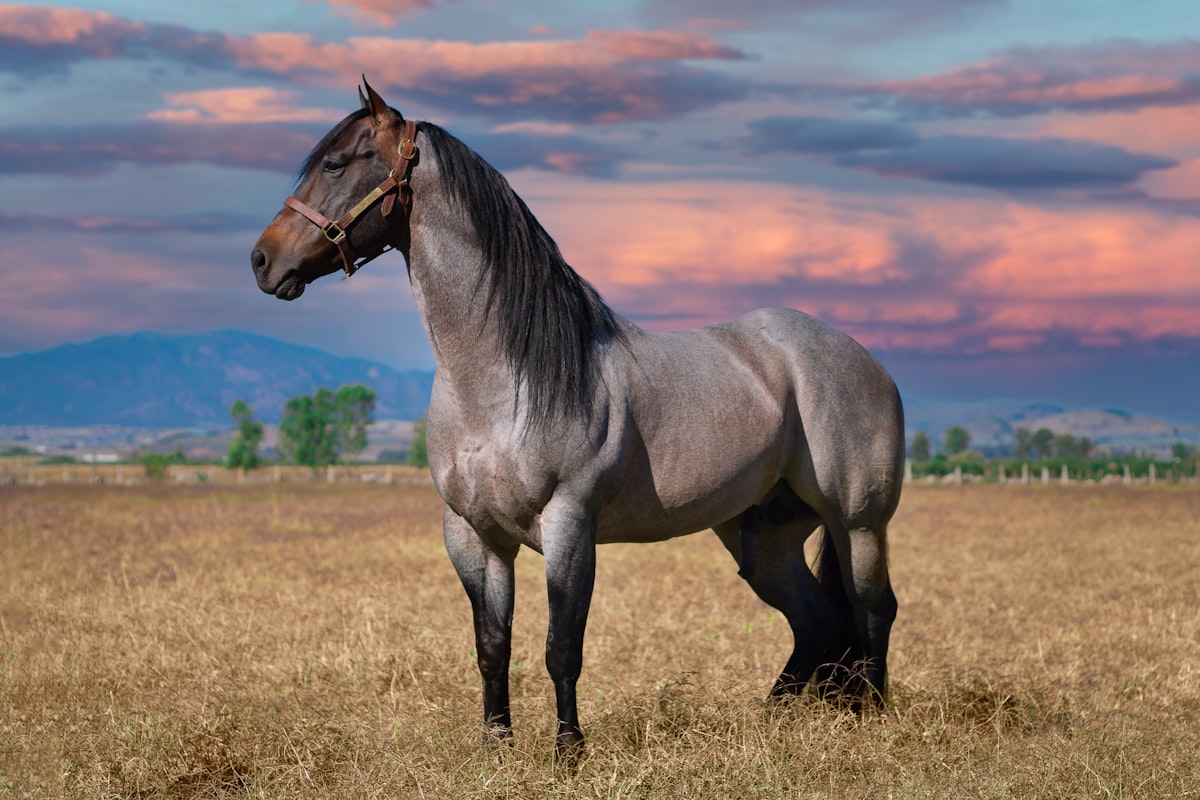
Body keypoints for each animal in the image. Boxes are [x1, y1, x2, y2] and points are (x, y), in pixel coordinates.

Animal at [251, 80, 904, 761]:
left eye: (335, 164)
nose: (263, 261)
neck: (500, 381)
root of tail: (864, 359)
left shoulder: (569, 525)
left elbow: (561, 648)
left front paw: (569, 750)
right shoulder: (473, 535)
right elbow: (492, 647)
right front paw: (496, 747)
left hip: (858, 523)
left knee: (872, 608)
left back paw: (871, 718)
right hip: (762, 536)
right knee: (816, 620)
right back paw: (771, 718)